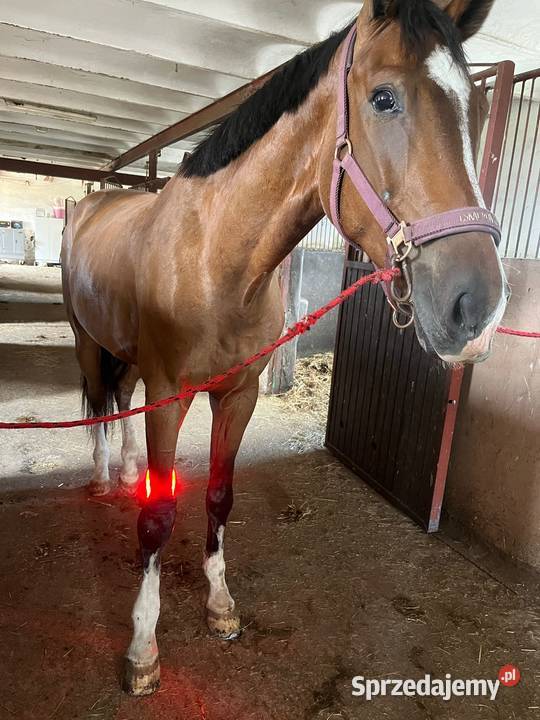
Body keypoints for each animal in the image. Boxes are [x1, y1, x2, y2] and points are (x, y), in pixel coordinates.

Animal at [61, 0, 507, 695]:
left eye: (477, 109)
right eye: (383, 98)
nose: (478, 308)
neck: (213, 257)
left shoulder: (238, 394)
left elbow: (219, 496)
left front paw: (220, 608)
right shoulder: (171, 394)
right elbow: (158, 518)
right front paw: (142, 650)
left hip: (129, 357)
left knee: (121, 399)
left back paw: (130, 469)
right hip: (88, 341)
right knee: (99, 408)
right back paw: (107, 477)